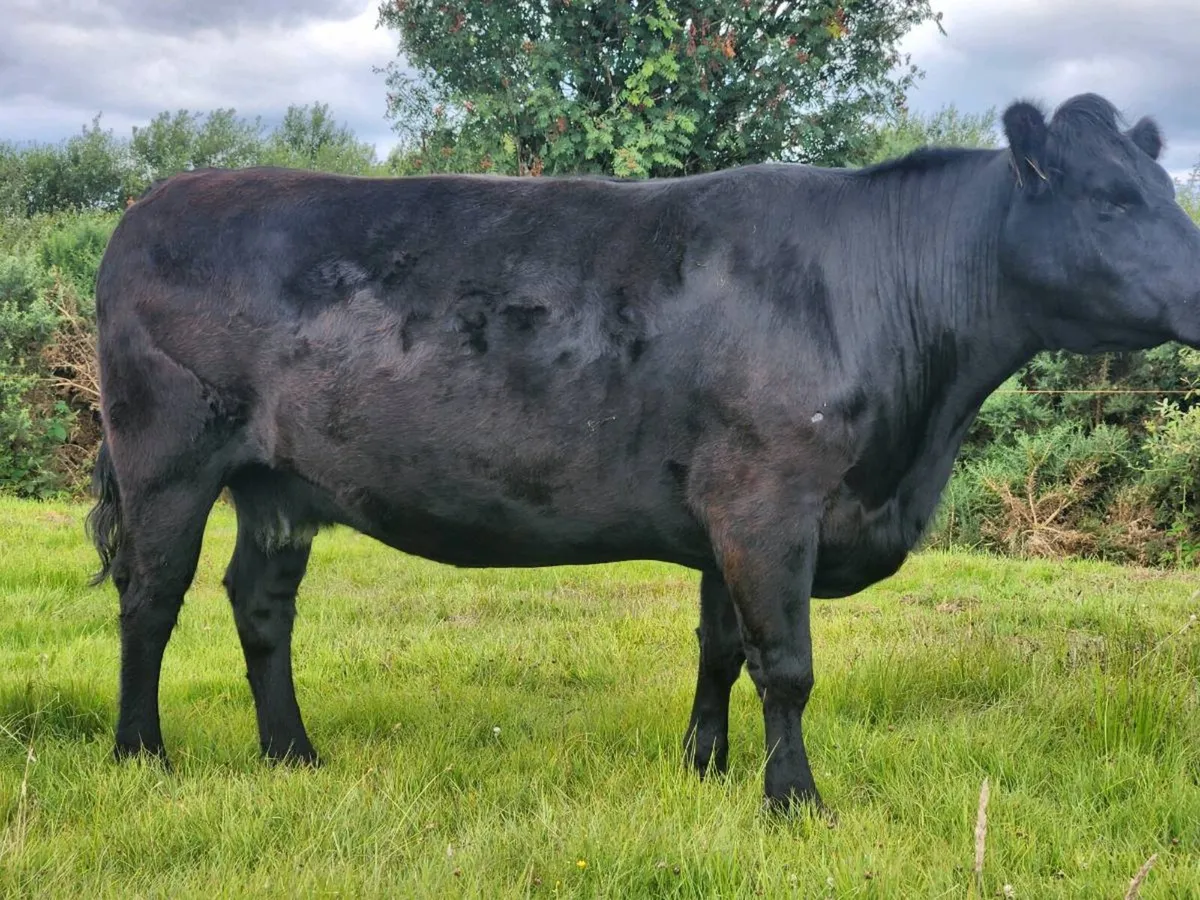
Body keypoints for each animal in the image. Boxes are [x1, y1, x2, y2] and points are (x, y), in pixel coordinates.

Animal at [84, 92, 1200, 814]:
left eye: (1166, 189)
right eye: (1112, 200)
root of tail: (152, 203)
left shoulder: (724, 515)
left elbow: (720, 650)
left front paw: (704, 771)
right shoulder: (768, 500)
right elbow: (786, 663)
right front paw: (795, 801)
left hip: (280, 483)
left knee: (260, 603)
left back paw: (293, 754)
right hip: (167, 454)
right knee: (151, 597)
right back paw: (142, 758)